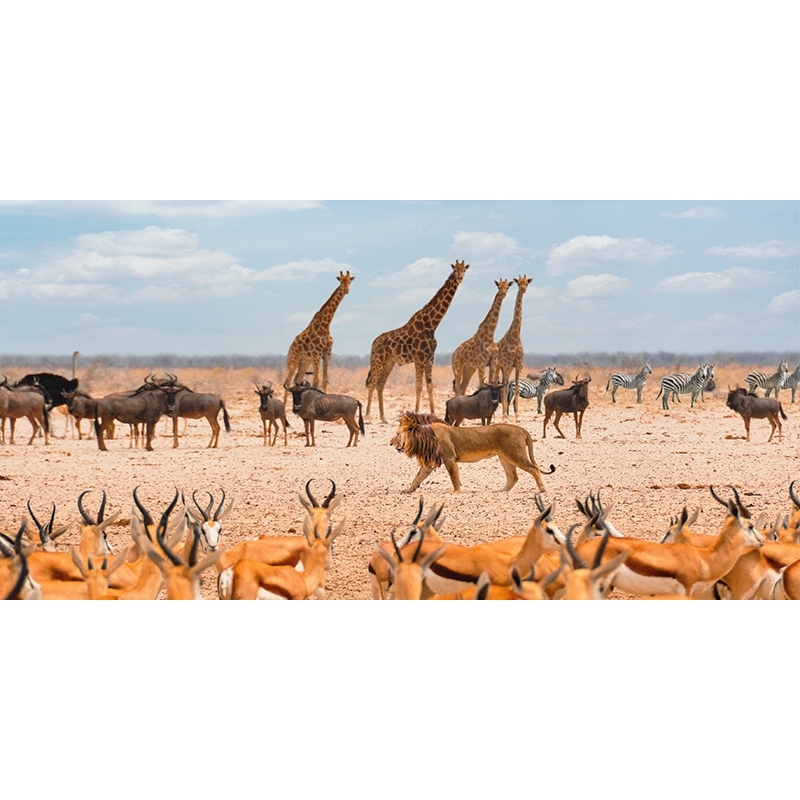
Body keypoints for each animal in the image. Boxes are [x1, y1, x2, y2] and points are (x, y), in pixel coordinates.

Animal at [368, 260, 472, 424]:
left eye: (464, 270)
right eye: (455, 270)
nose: (460, 278)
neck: (432, 324)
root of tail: (373, 343)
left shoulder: (429, 358)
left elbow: (429, 385)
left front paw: (433, 414)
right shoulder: (419, 358)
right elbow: (418, 386)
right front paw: (416, 413)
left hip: (389, 362)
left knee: (380, 384)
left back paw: (383, 418)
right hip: (378, 360)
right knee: (372, 383)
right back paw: (367, 416)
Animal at [390, 412, 556, 494]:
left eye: (397, 434)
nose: (390, 443)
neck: (425, 436)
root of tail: (521, 428)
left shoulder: (450, 458)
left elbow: (454, 477)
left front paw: (456, 492)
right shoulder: (429, 464)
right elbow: (417, 477)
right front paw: (408, 490)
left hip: (515, 454)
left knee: (534, 469)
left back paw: (542, 489)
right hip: (505, 457)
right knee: (513, 476)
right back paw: (502, 491)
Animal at [494, 276, 532, 416]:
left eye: (527, 283)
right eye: (518, 283)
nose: (523, 289)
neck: (515, 337)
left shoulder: (519, 365)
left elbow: (516, 389)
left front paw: (516, 415)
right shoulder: (508, 364)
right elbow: (505, 389)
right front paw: (505, 415)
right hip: (498, 365)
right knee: (495, 382)